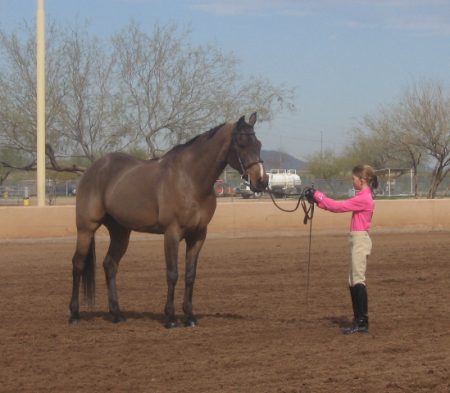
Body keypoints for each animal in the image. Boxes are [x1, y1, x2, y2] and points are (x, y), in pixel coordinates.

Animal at [68, 112, 268, 326]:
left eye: (259, 144)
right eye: (242, 144)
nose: (261, 181)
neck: (190, 179)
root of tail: (93, 168)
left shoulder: (198, 235)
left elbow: (190, 275)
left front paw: (190, 317)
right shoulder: (171, 233)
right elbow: (172, 274)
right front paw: (171, 318)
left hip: (120, 232)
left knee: (110, 265)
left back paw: (117, 314)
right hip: (86, 228)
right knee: (78, 264)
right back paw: (74, 315)